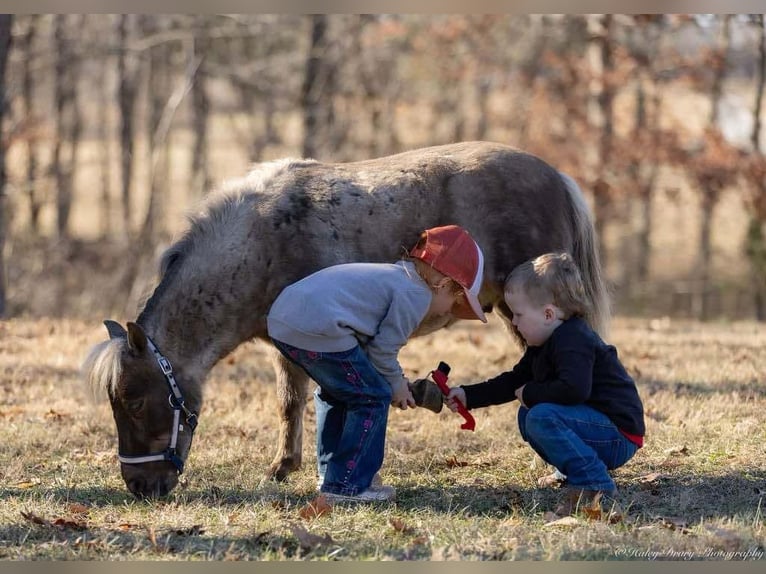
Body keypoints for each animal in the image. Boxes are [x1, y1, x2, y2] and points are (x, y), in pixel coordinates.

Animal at [85, 141, 612, 500]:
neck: (263, 241)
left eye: (134, 402)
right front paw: (289, 466)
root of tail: (559, 177)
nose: (139, 485)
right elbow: (294, 404)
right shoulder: (288, 346)